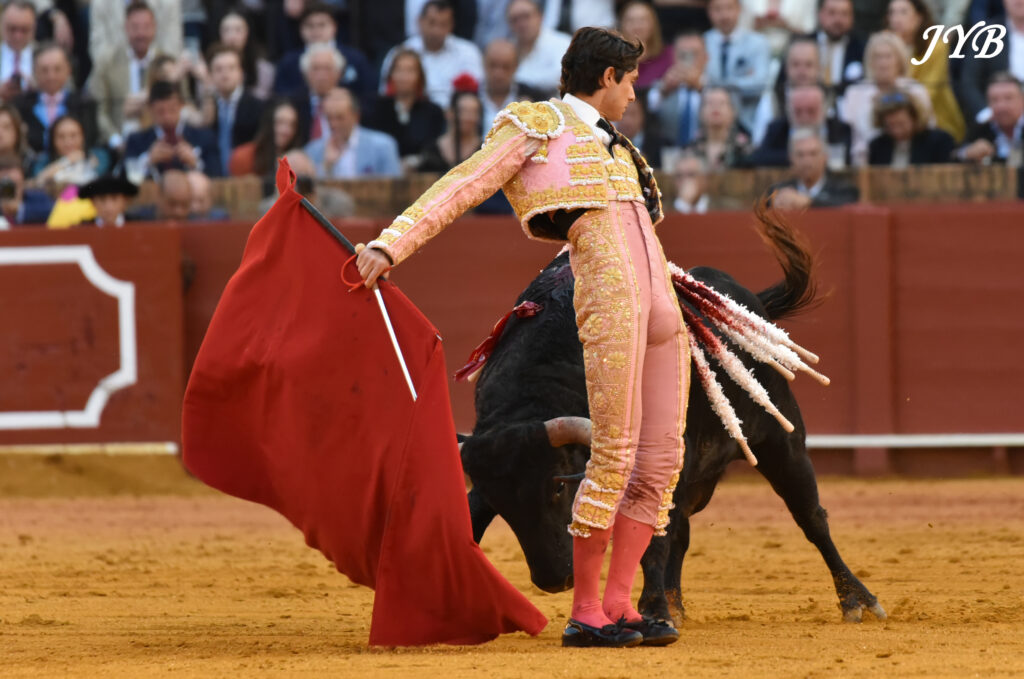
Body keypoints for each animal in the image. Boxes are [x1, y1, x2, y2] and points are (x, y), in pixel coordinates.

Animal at [459, 206, 887, 625]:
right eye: (500, 500)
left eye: (558, 488)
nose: (553, 580)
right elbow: (471, 521)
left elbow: (654, 535)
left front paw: (651, 610)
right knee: (680, 527)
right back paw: (674, 602)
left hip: (781, 441)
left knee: (810, 516)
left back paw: (857, 600)